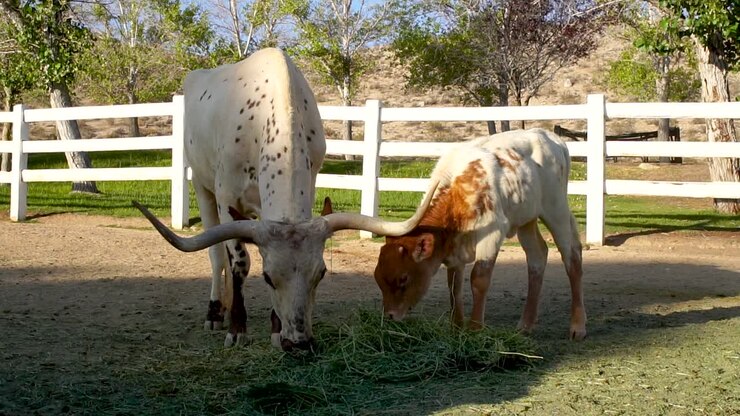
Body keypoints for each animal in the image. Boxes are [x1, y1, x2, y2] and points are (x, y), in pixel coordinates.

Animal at [133, 48, 437, 350]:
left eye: (321, 273)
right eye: (268, 277)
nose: (298, 343)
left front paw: (276, 331)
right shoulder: (226, 196)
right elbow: (239, 263)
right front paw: (237, 328)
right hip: (201, 185)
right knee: (218, 256)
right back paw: (216, 311)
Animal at [371, 128, 587, 340]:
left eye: (403, 278)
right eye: (377, 278)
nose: (390, 316)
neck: (457, 194)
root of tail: (550, 136)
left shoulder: (493, 234)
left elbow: (479, 279)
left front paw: (475, 330)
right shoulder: (455, 249)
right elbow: (454, 286)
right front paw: (456, 328)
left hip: (556, 210)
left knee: (572, 257)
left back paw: (577, 326)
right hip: (526, 219)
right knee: (537, 257)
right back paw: (525, 325)